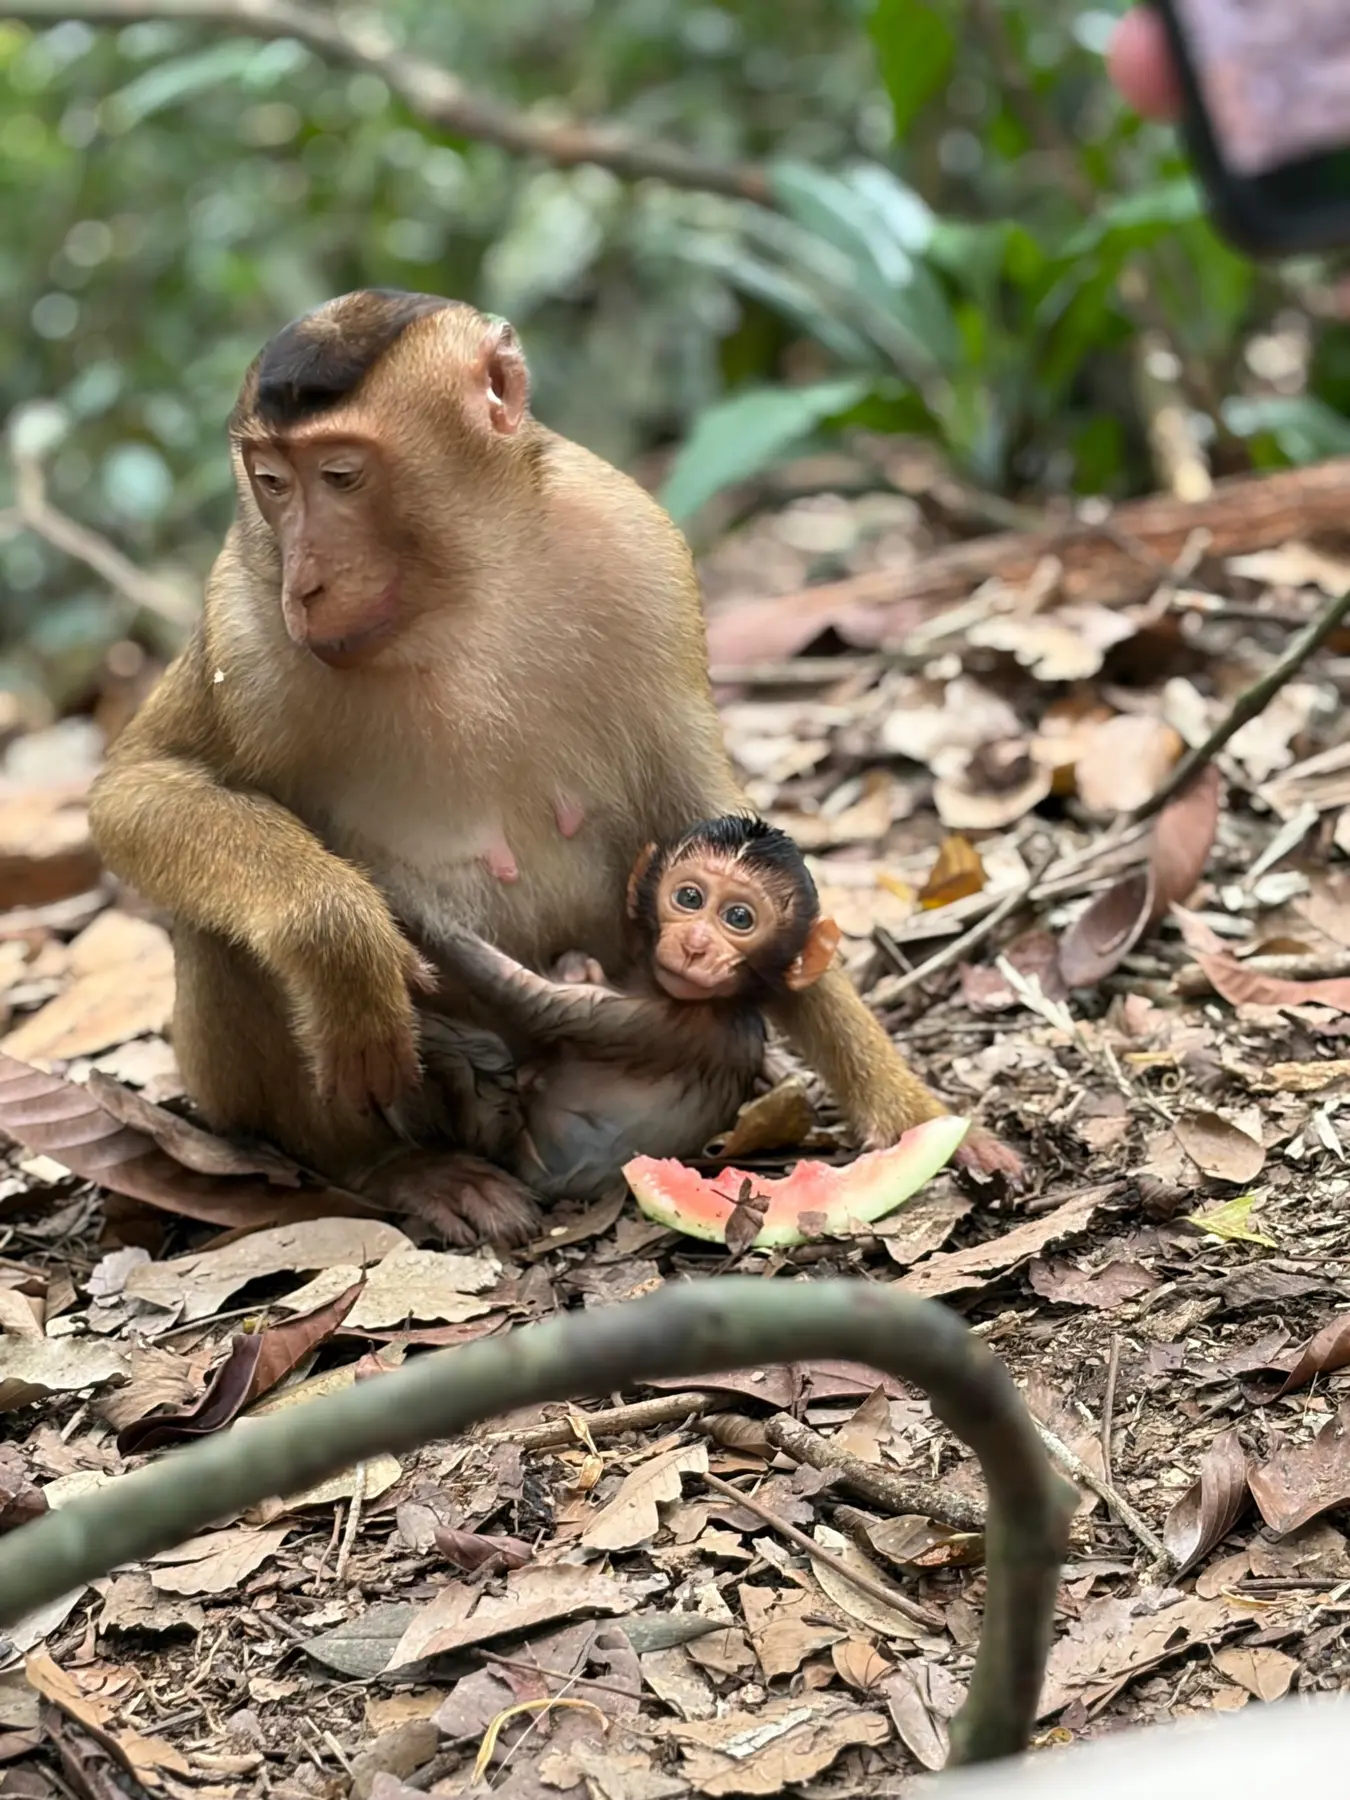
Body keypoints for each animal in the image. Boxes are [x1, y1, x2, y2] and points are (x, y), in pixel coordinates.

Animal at [417, 814, 843, 1201]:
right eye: (690, 898)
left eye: (739, 918)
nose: (695, 945)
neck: (726, 1002)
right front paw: (577, 967)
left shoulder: (660, 1024)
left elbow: (528, 997)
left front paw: (411, 899)